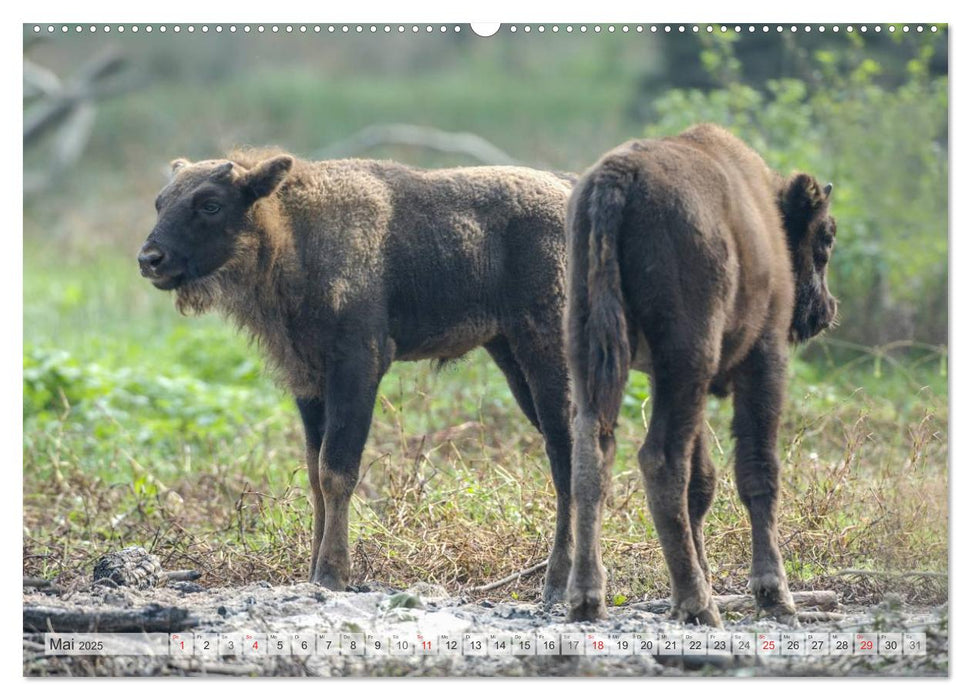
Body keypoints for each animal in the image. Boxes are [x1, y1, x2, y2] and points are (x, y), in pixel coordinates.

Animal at [138, 149, 576, 600]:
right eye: (160, 202)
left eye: (211, 204)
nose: (150, 259)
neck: (294, 230)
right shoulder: (310, 384)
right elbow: (315, 475)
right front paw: (313, 569)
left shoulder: (358, 367)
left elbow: (337, 471)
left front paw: (332, 573)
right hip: (510, 356)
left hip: (546, 354)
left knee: (566, 457)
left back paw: (558, 583)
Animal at [564, 124, 840, 624]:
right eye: (825, 239)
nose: (825, 310)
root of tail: (617, 177)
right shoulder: (763, 357)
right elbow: (757, 468)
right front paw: (774, 594)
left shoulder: (664, 378)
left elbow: (702, 481)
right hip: (690, 355)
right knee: (661, 461)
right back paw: (698, 604)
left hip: (593, 352)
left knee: (594, 453)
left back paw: (589, 599)